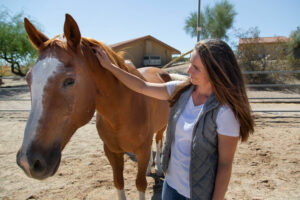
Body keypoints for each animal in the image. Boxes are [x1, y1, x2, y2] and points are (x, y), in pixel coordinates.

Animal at [16, 14, 171, 200]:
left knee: (159, 142)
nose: (27, 161)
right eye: (28, 79)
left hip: (161, 127)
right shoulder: (112, 152)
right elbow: (119, 183)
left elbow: (140, 184)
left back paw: (159, 168)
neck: (122, 113)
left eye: (69, 80)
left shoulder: (141, 150)